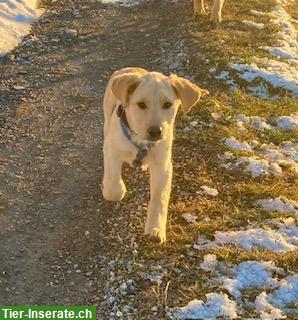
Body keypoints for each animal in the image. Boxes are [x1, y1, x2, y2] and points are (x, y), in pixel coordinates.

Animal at [101, 67, 208, 242]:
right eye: (141, 104)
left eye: (167, 104)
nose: (155, 131)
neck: (141, 141)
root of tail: (131, 67)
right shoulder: (112, 150)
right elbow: (113, 189)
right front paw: (113, 189)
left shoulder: (163, 165)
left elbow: (160, 196)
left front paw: (155, 229)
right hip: (107, 118)